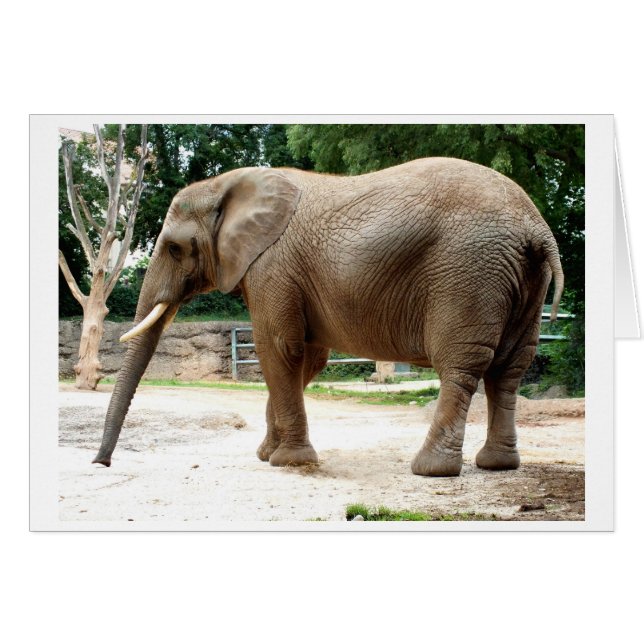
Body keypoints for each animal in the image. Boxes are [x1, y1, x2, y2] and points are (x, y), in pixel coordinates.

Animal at [93, 157, 563, 477]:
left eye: (175, 249)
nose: (101, 463)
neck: (227, 185)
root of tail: (538, 229)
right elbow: (307, 359)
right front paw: (267, 455)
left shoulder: (272, 266)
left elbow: (278, 348)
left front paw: (287, 461)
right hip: (521, 280)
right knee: (510, 369)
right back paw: (498, 465)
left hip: (468, 273)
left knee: (461, 366)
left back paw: (431, 469)